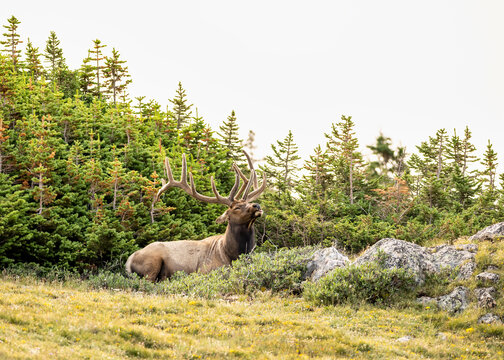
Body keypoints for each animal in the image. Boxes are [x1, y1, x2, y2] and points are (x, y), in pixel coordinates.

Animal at [125, 150, 266, 280]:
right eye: (236, 207)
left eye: (248, 202)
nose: (257, 206)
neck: (231, 254)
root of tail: (128, 261)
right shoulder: (206, 271)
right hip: (152, 263)